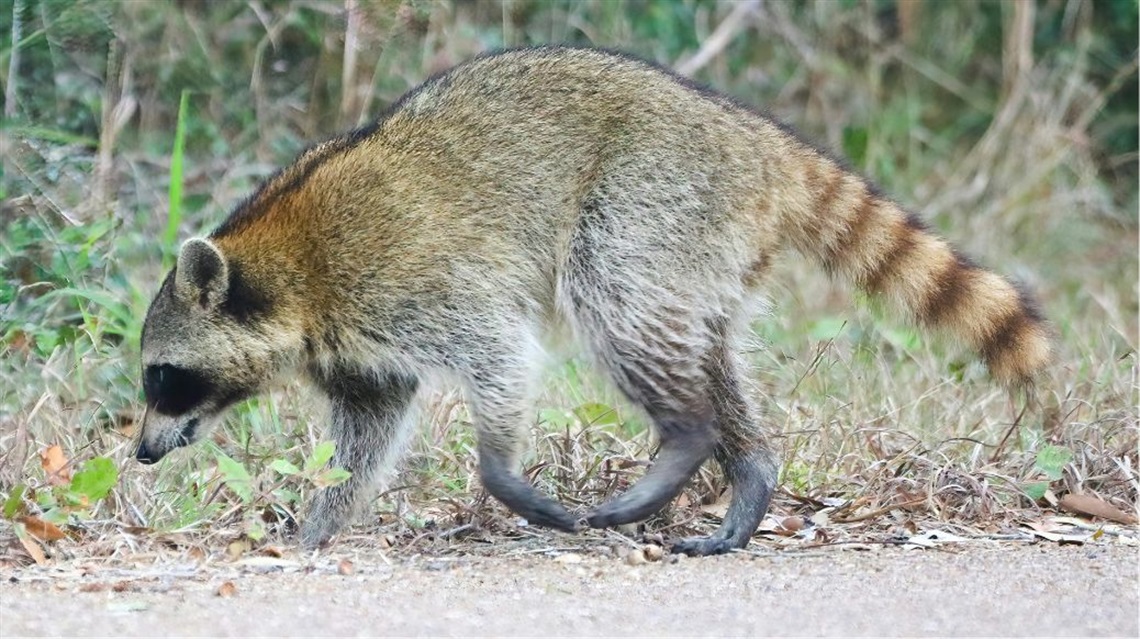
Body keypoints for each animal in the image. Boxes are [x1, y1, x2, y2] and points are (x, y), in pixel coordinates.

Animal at [136, 46, 1051, 556]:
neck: (284, 269)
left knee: (618, 301)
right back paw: (747, 467)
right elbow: (370, 425)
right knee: (703, 344)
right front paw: (317, 528)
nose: (141, 452)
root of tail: (753, 137)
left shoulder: (410, 280)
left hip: (652, 194)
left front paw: (500, 473)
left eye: (160, 377)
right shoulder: (356, 347)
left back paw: (689, 438)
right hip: (702, 243)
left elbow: (501, 352)